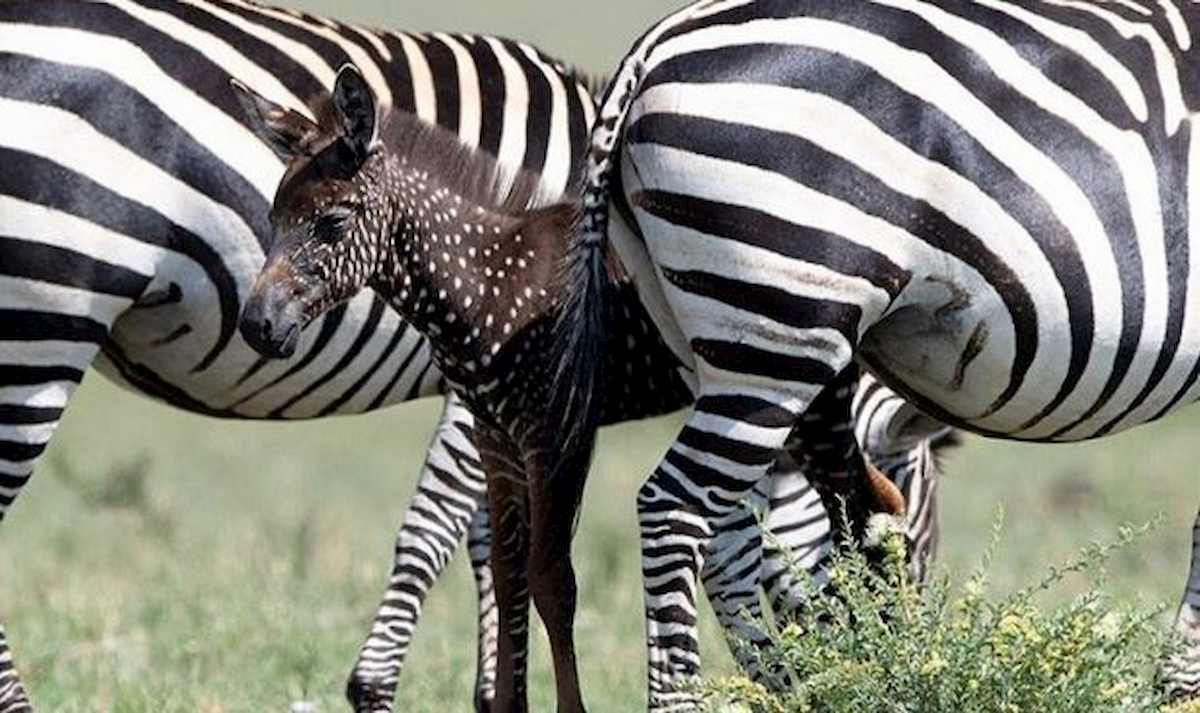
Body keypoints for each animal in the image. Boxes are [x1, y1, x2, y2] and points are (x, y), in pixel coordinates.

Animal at [0, 1, 950, 710]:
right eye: (925, 538)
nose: (905, 649)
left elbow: (503, 553)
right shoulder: (503, 408)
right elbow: (480, 547)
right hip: (42, 319)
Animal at [570, 0, 1200, 707]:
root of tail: (655, 43)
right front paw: (1180, 687)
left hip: (714, 337)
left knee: (733, 531)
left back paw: (787, 688)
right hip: (782, 322)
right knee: (674, 509)